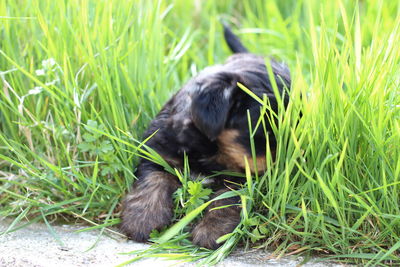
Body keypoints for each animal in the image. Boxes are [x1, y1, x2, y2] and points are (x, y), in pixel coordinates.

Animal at [119, 26, 290, 250]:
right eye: (265, 133)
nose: (284, 164)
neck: (207, 148)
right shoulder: (156, 149)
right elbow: (153, 178)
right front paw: (142, 218)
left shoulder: (239, 177)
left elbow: (226, 198)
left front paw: (212, 231)